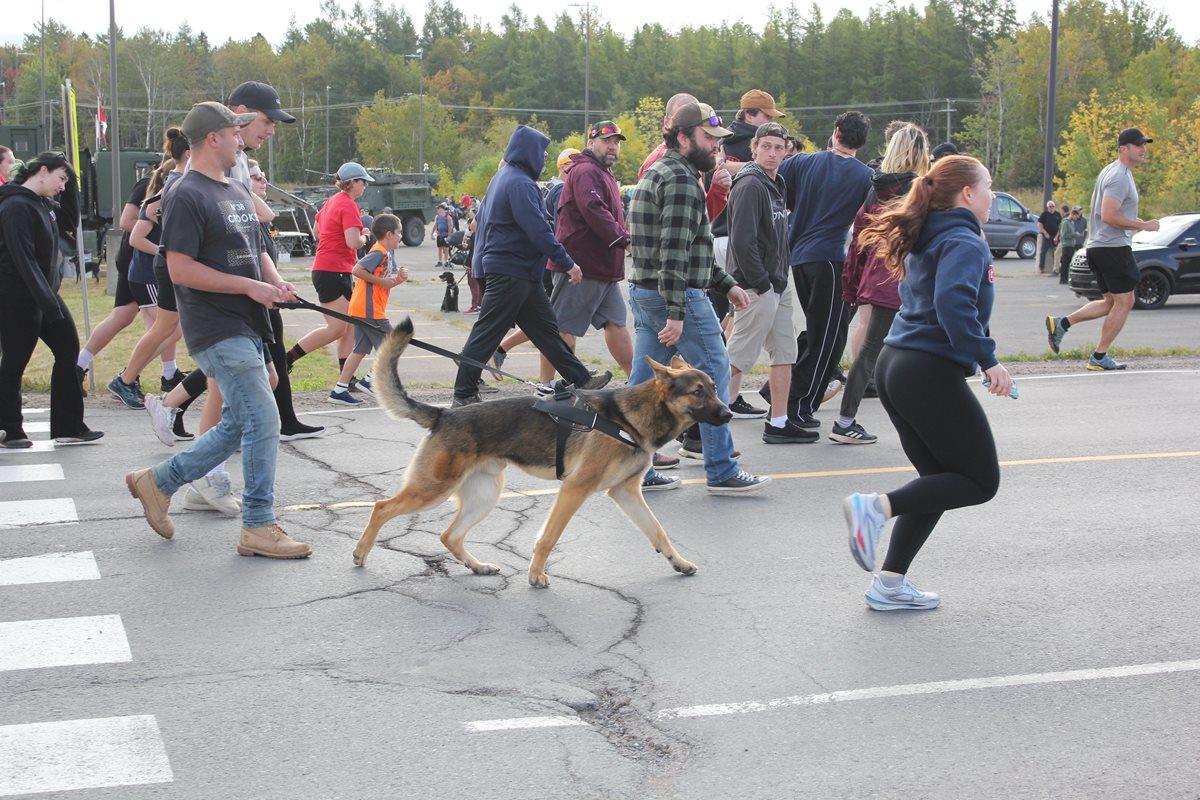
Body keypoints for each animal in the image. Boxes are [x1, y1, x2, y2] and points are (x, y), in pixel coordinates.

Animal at [352, 318, 734, 588]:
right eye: (698, 392)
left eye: (715, 388)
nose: (729, 414)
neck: (627, 418)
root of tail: (444, 414)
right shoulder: (575, 489)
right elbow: (548, 538)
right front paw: (536, 576)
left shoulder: (625, 492)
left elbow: (658, 532)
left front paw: (678, 562)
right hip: (433, 489)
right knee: (382, 507)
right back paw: (360, 553)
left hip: (484, 495)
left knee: (449, 535)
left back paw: (478, 566)